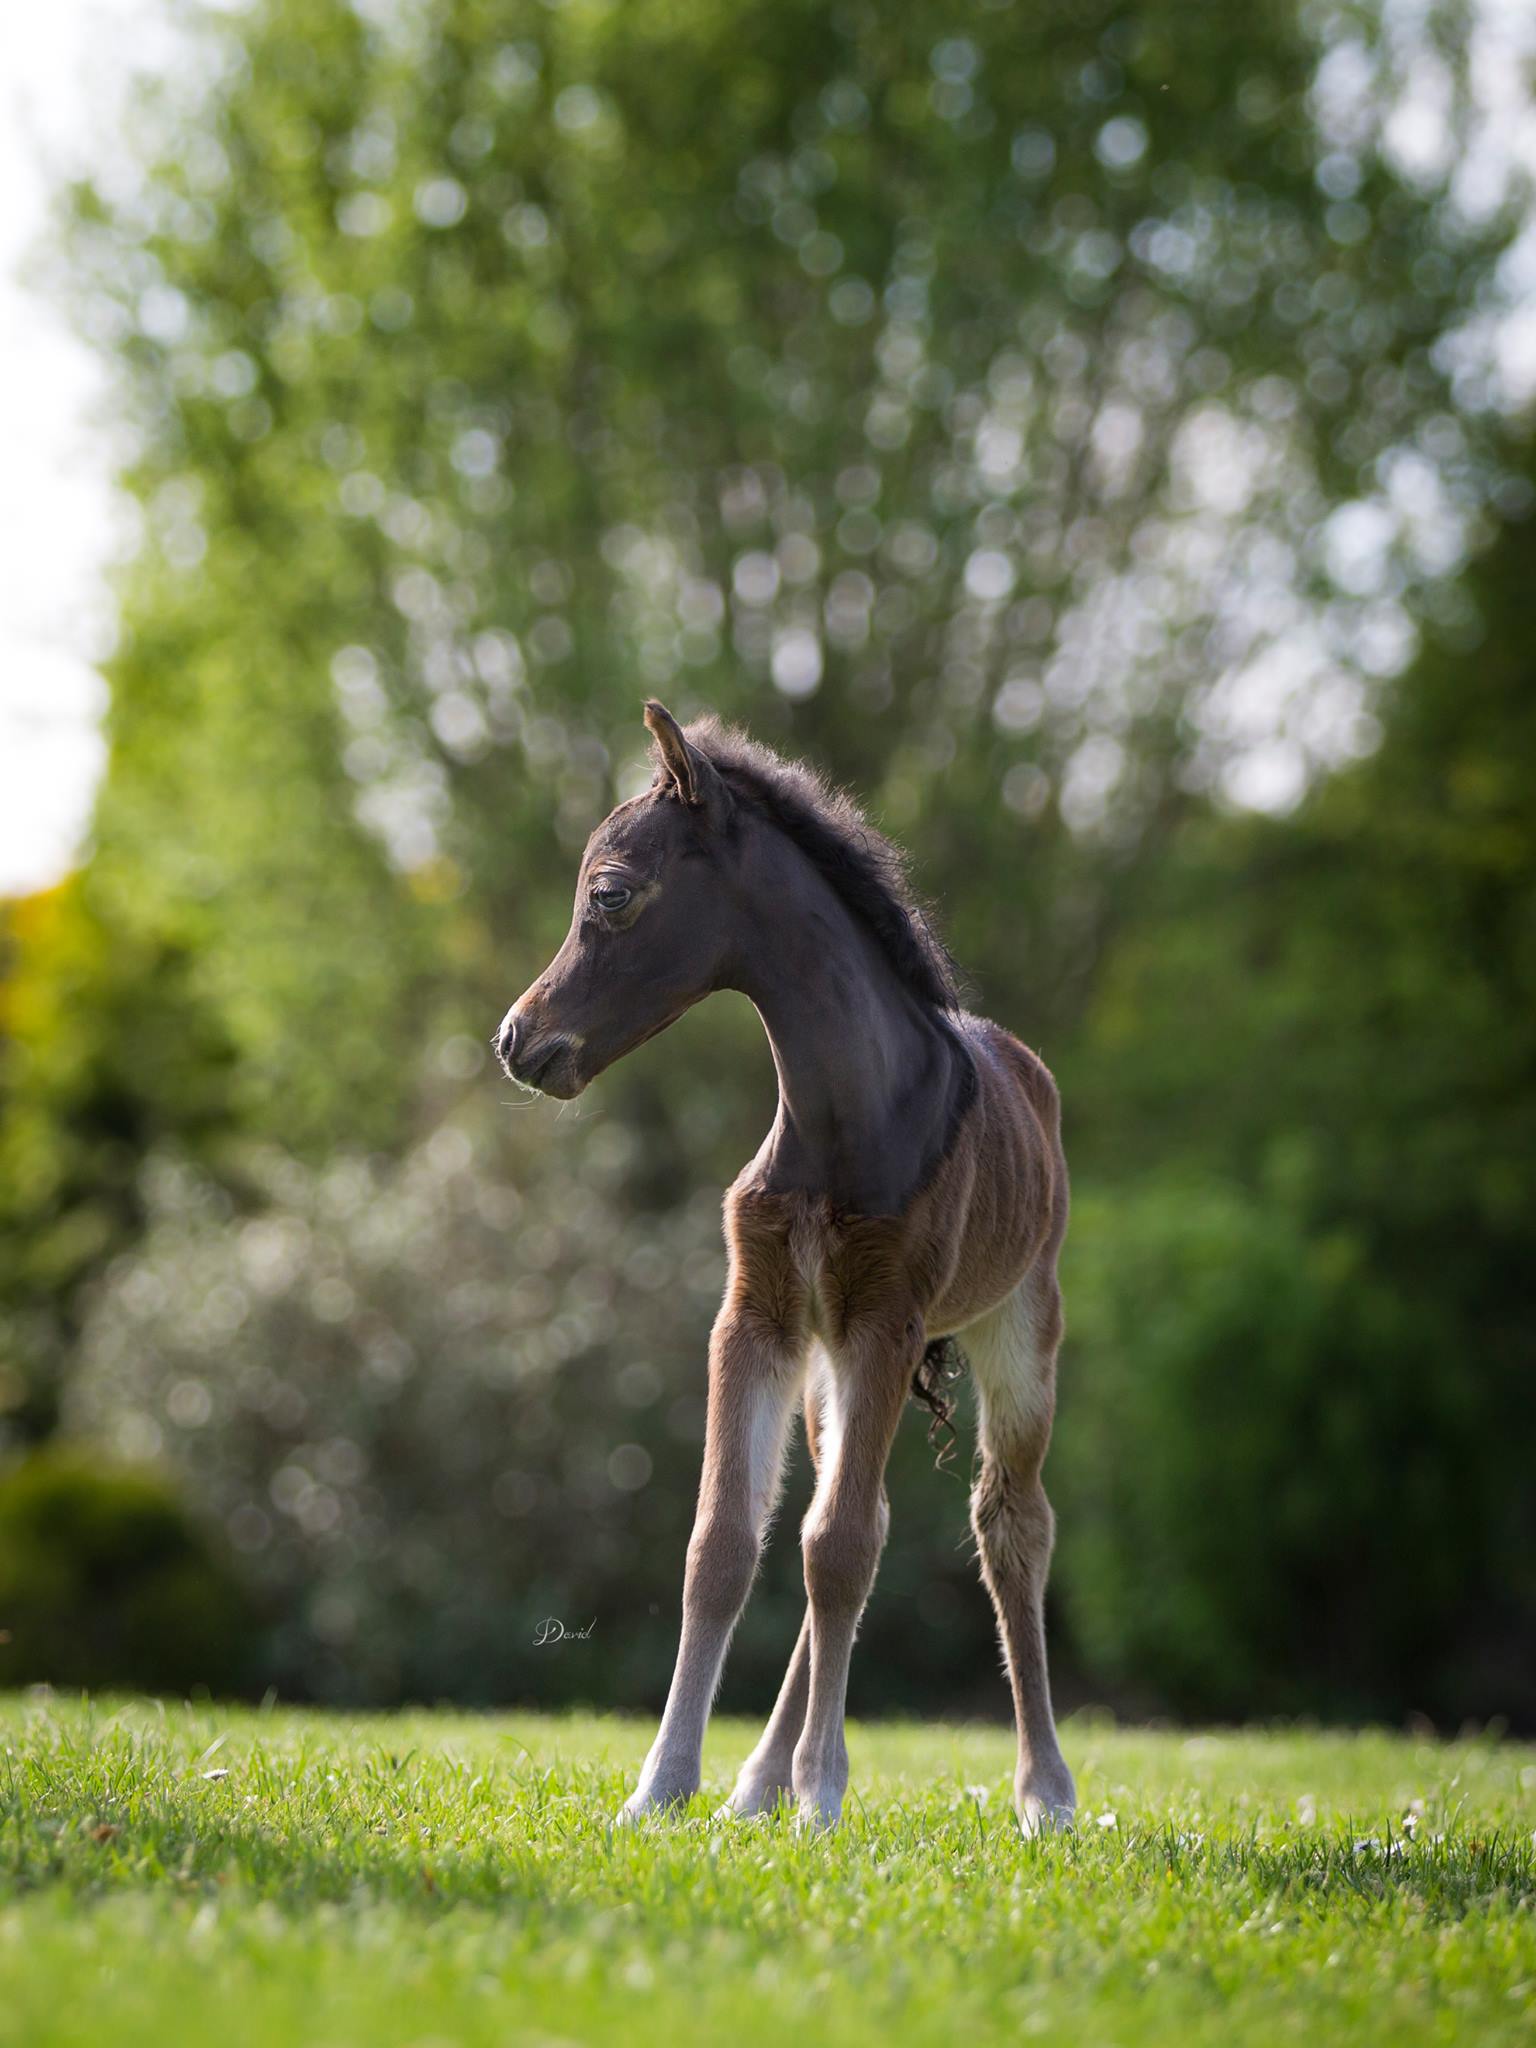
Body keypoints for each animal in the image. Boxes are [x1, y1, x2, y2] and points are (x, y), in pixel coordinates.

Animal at [494, 701, 1076, 1834]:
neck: (844, 1115)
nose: (516, 1038)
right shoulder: (757, 1318)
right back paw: (758, 1782)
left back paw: (1046, 1793)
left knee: (1008, 1522)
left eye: (610, 892)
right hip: (827, 1368)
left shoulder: (889, 1320)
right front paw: (664, 1787)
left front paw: (824, 1796)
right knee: (841, 1517)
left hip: (1015, 1327)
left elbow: (838, 1549)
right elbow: (728, 1542)